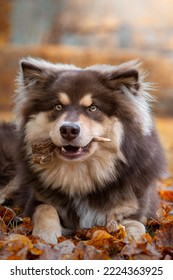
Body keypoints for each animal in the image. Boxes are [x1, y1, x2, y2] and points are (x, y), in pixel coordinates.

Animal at [0, 58, 166, 243]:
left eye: (93, 108)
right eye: (58, 106)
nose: (68, 130)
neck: (80, 176)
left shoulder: (134, 209)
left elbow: (137, 227)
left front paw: (134, 242)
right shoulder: (36, 201)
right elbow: (46, 210)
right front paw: (45, 237)